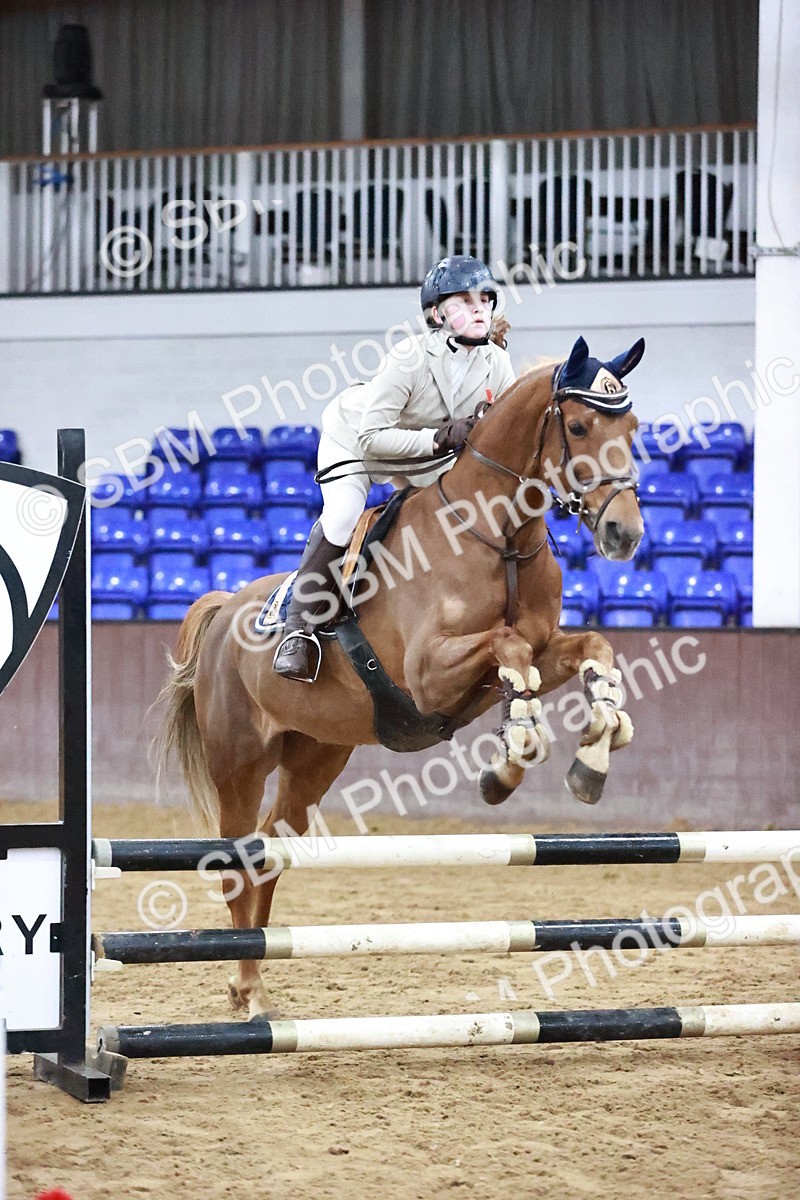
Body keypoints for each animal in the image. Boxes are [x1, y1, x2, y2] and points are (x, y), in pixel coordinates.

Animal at [155, 334, 646, 1017]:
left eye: (633, 426)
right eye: (577, 426)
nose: (626, 534)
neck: (495, 535)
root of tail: (226, 609)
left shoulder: (539, 652)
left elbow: (584, 648)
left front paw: (593, 753)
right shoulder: (430, 673)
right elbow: (508, 648)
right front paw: (512, 757)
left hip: (315, 756)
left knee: (272, 851)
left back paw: (248, 981)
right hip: (239, 764)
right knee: (237, 859)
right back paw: (248, 991)